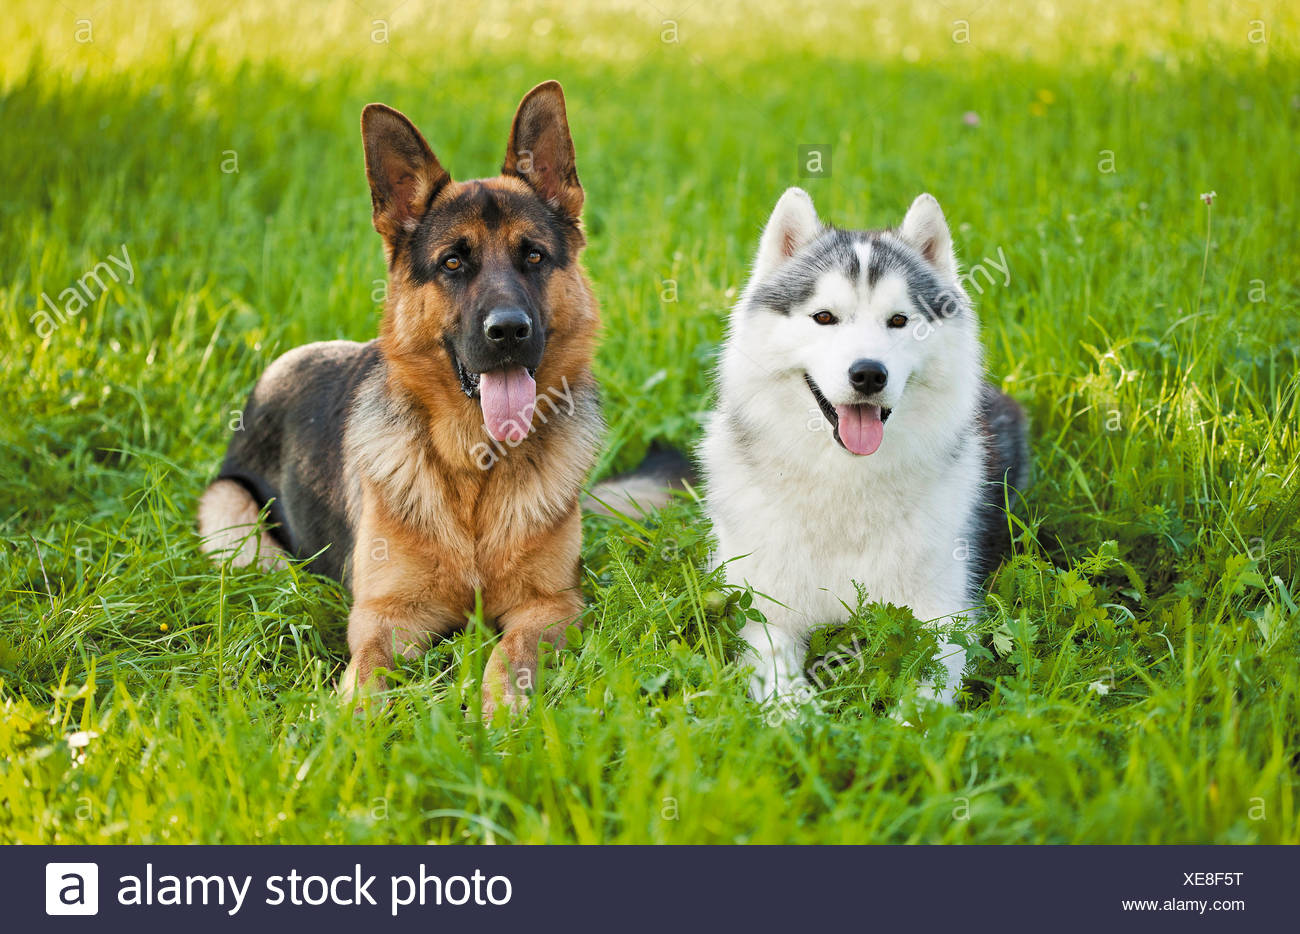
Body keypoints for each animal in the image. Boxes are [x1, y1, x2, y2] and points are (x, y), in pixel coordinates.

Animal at [195, 83, 647, 723]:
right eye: (453, 263)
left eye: (533, 256)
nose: (509, 331)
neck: (476, 471)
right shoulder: (387, 615)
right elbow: (368, 670)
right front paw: (353, 725)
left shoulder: (552, 606)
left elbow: (511, 652)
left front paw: (502, 710)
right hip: (233, 523)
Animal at [707, 186, 1029, 707]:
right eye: (824, 317)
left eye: (899, 320)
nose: (868, 374)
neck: (846, 481)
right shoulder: (763, 607)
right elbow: (776, 670)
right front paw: (794, 715)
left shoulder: (945, 614)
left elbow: (928, 688)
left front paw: (909, 720)